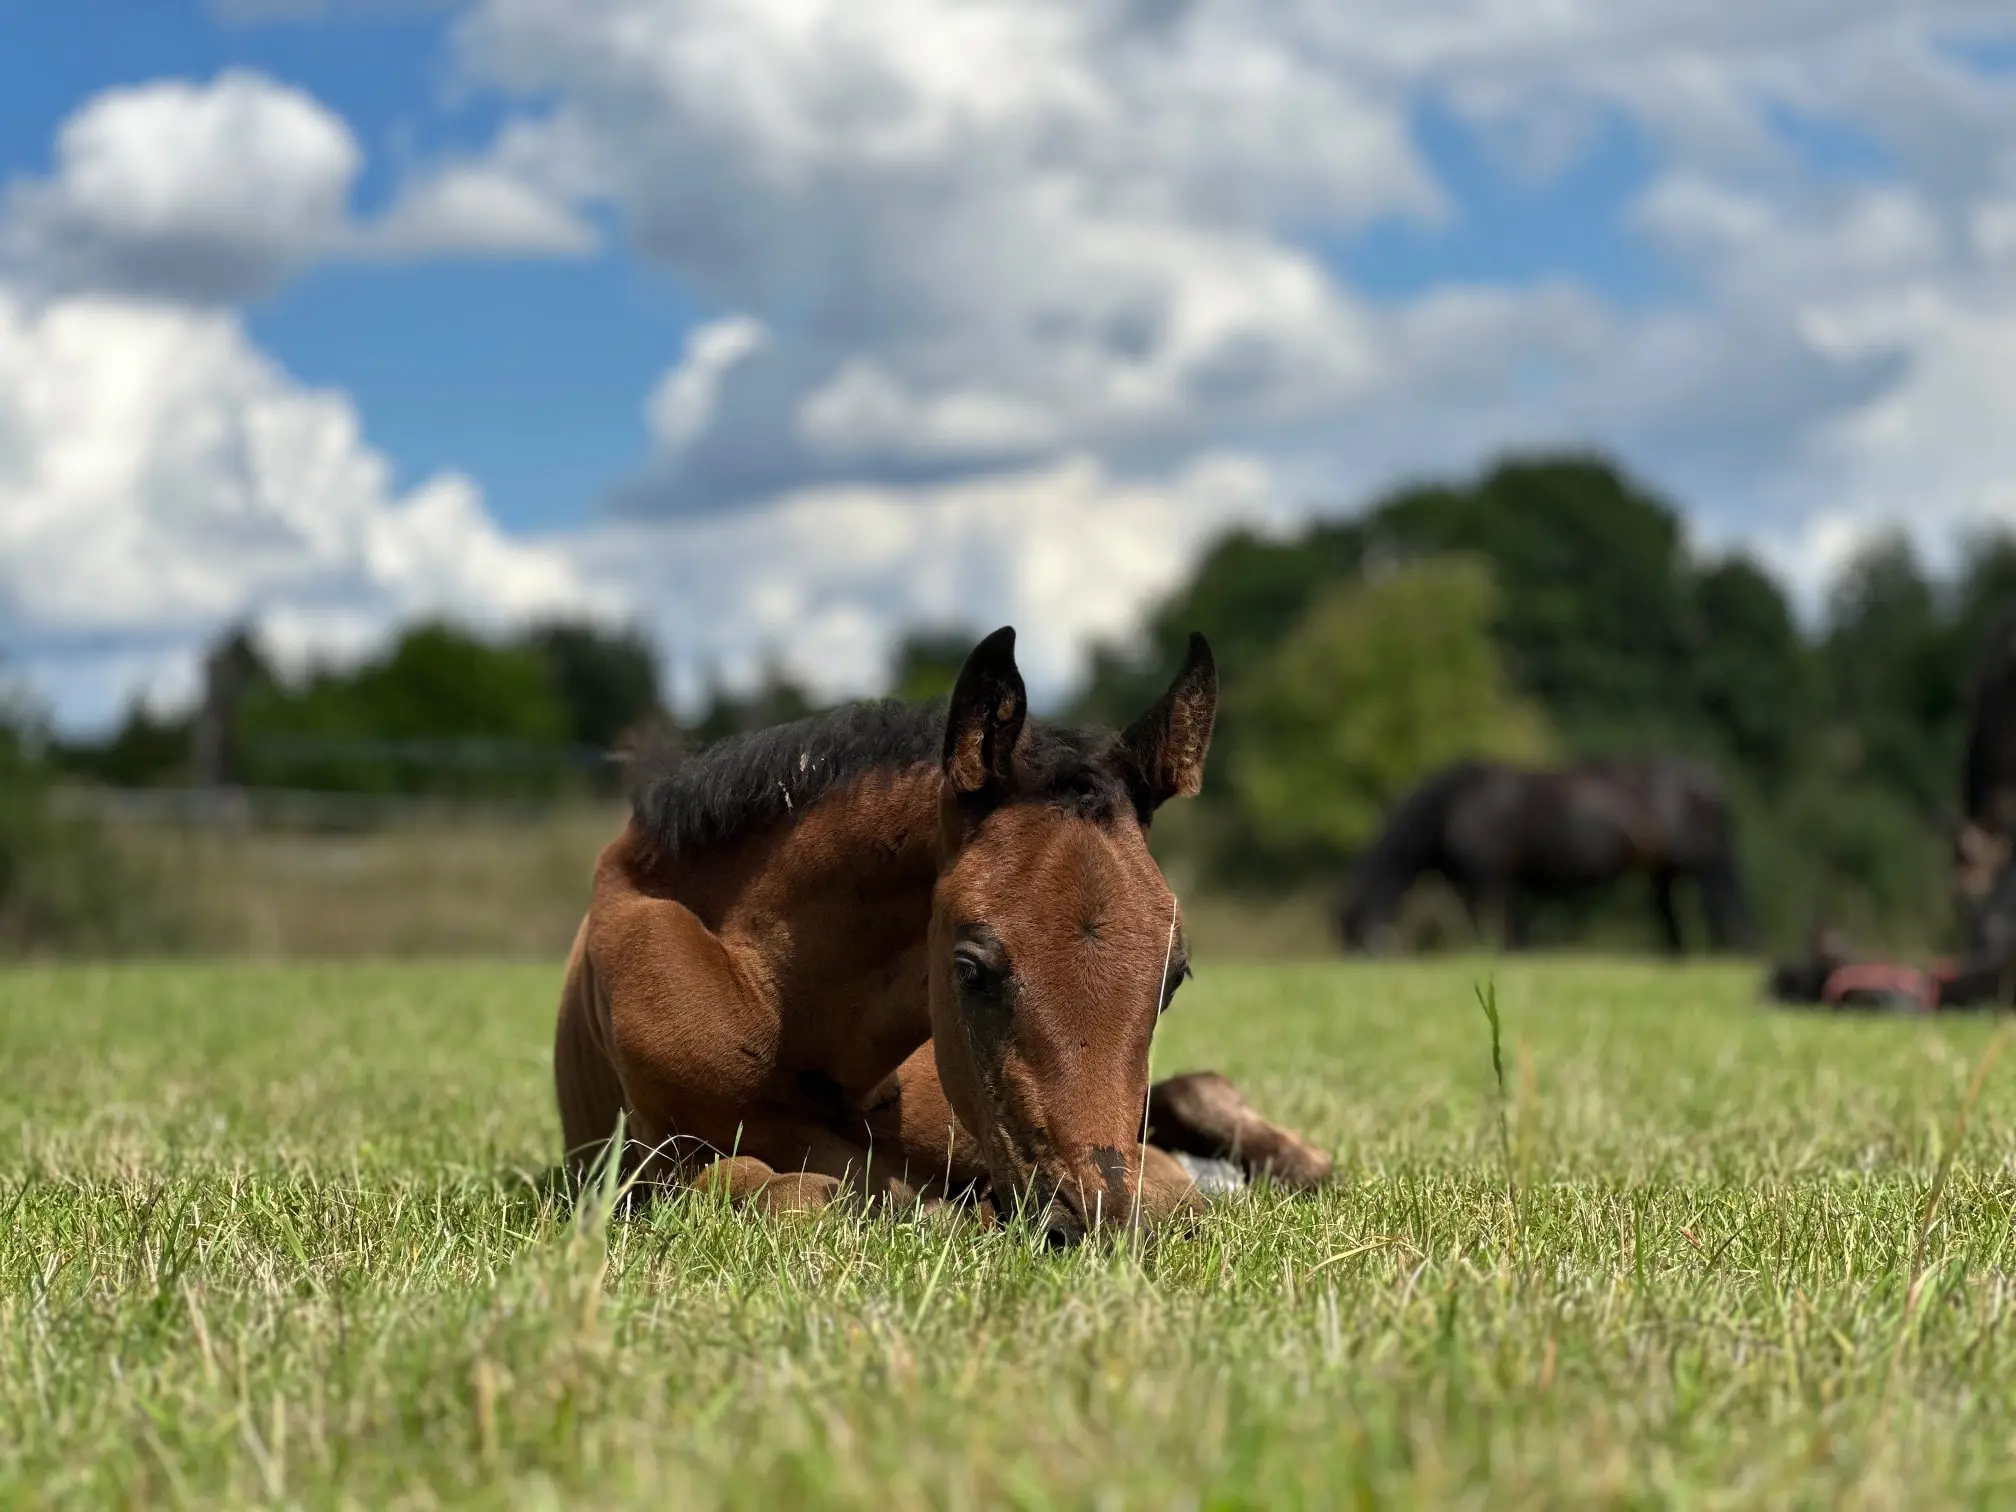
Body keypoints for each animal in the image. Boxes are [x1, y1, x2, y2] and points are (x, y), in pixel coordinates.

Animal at [1337, 757, 1754, 955]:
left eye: (1353, 930)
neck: (1451, 807)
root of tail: (1706, 780)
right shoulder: (1494, 880)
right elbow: (1508, 925)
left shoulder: (1485, 875)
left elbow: (1492, 923)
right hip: (1663, 869)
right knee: (1670, 913)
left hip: (1704, 861)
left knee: (1725, 903)